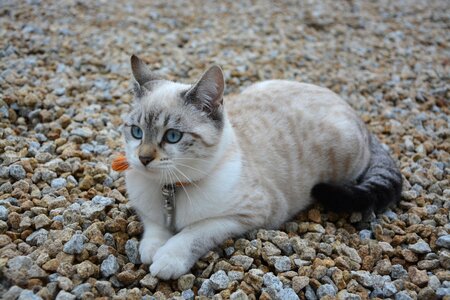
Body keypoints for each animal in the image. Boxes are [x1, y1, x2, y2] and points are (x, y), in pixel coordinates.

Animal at [121, 55, 402, 280]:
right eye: (136, 132)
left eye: (172, 137)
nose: (143, 158)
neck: (169, 189)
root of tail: (355, 114)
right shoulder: (148, 209)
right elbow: (153, 226)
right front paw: (151, 249)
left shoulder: (246, 214)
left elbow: (193, 233)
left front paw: (168, 258)